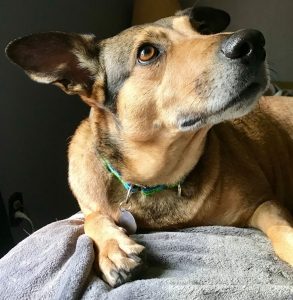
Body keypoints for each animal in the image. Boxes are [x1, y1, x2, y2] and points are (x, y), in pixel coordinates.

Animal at [5, 5, 293, 288]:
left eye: (203, 30)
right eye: (146, 53)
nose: (253, 41)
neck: (158, 177)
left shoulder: (263, 203)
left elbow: (281, 230)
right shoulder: (90, 204)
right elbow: (91, 218)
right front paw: (114, 248)